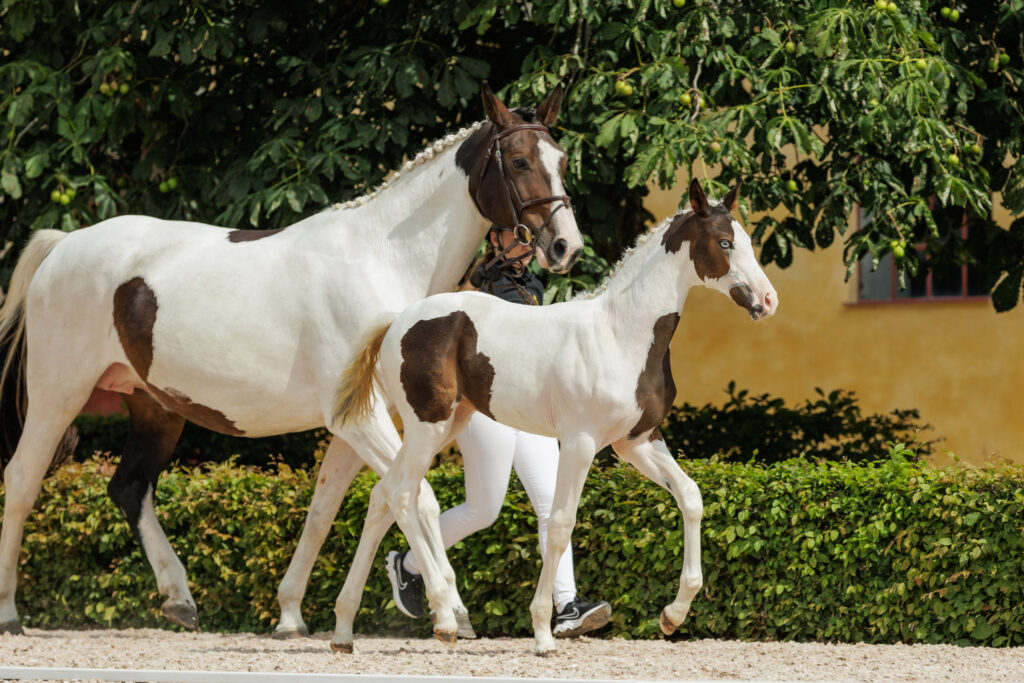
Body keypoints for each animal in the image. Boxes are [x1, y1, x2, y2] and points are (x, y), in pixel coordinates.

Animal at [0, 82, 585, 638]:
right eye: (518, 161)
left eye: (561, 158)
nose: (566, 247)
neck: (382, 260)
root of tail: (63, 245)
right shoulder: (364, 422)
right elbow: (416, 498)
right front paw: (447, 611)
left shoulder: (363, 421)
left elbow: (325, 509)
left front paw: (290, 615)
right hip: (58, 395)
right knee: (23, 481)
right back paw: (10, 613)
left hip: (155, 406)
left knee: (129, 488)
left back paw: (180, 598)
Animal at [331, 179, 778, 655]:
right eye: (724, 242)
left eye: (748, 241)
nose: (768, 300)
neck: (621, 333)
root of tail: (400, 320)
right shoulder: (581, 441)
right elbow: (562, 524)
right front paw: (544, 632)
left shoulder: (637, 441)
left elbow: (690, 496)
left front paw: (673, 616)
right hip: (426, 424)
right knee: (401, 495)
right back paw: (444, 620)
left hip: (449, 423)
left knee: (381, 495)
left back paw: (344, 630)